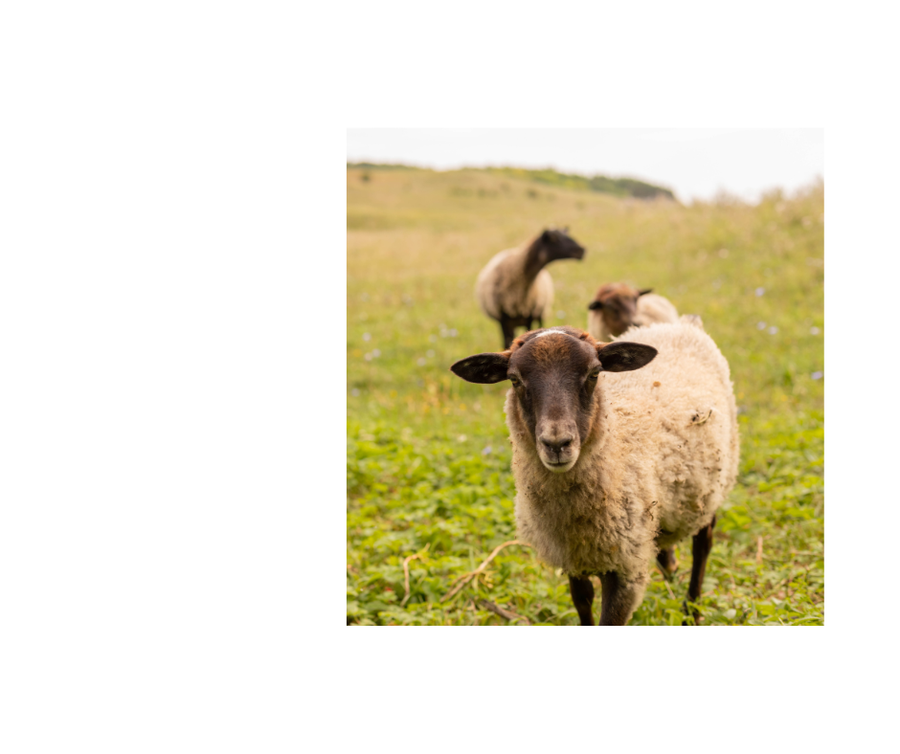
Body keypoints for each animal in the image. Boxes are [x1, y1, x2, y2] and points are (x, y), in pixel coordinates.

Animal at [450, 323, 739, 625]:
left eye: (594, 373)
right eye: (514, 380)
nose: (557, 443)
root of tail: (677, 324)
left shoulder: (626, 570)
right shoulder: (573, 558)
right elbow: (582, 601)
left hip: (709, 485)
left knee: (703, 543)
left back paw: (691, 611)